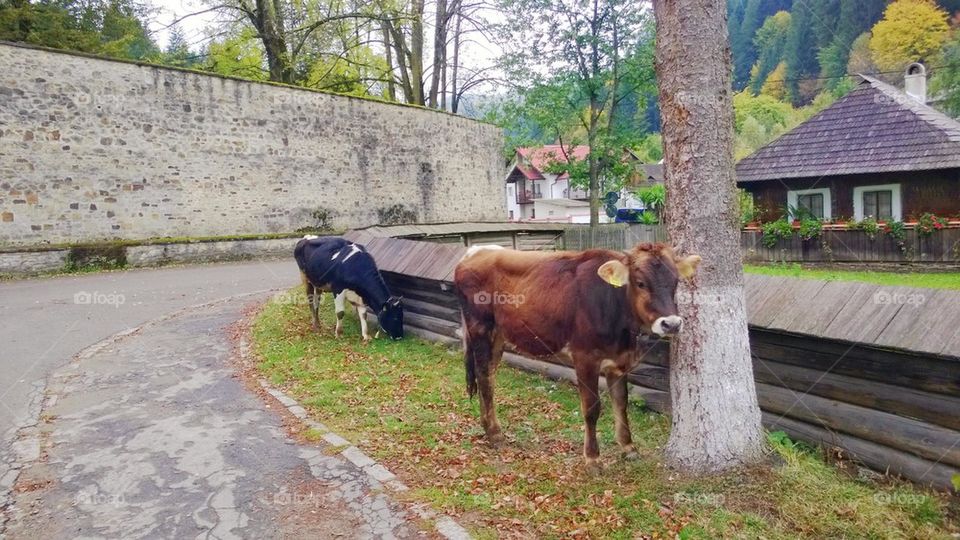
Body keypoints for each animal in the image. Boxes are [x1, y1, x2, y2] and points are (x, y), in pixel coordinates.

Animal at [453, 243, 700, 468]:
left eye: (676, 282)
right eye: (640, 283)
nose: (672, 324)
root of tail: (475, 251)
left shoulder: (619, 361)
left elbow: (621, 403)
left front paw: (629, 448)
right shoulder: (585, 358)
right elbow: (591, 408)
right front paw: (593, 459)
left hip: (498, 335)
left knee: (489, 376)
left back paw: (488, 427)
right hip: (480, 328)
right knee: (484, 377)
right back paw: (495, 435)